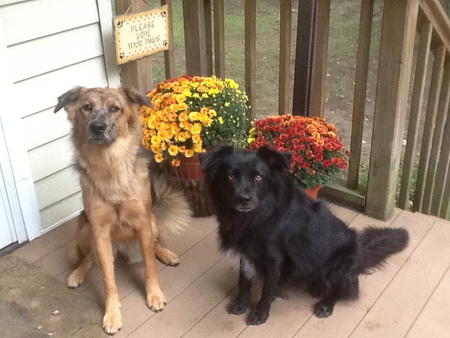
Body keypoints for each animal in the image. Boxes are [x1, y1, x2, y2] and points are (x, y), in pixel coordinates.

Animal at [55, 86, 192, 334]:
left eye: (114, 108)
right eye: (87, 107)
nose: (97, 127)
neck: (109, 164)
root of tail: (123, 250)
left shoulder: (142, 221)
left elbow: (150, 266)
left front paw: (154, 295)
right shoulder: (99, 231)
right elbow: (108, 280)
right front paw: (112, 314)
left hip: (152, 221)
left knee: (154, 245)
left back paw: (166, 254)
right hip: (85, 229)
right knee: (88, 258)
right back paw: (77, 274)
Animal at [199, 147, 410, 326]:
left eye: (258, 177)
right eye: (230, 176)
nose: (244, 199)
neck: (258, 216)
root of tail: (359, 252)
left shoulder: (274, 260)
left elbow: (266, 291)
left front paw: (260, 313)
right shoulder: (246, 253)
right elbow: (243, 281)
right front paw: (241, 304)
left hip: (335, 267)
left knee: (345, 289)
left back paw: (326, 305)